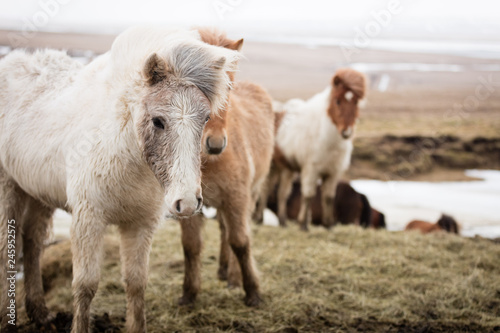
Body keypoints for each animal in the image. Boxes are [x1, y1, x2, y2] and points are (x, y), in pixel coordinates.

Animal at [0, 26, 239, 332]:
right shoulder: (88, 220)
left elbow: (136, 284)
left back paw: (40, 313)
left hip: (38, 193)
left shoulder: (140, 226)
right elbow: (85, 285)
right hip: (9, 188)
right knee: (8, 247)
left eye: (205, 118)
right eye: (158, 121)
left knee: (32, 241)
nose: (186, 202)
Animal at [176, 28, 276, 306]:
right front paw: (189, 294)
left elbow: (240, 242)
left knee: (232, 234)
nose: (216, 144)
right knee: (223, 230)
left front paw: (252, 291)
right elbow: (191, 246)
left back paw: (232, 277)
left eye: (228, 86)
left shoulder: (237, 197)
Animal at [264, 68, 366, 231]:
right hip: (272, 165)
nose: (347, 132)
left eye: (356, 102)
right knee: (263, 189)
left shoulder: (333, 173)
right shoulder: (311, 170)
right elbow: (308, 195)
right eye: (337, 101)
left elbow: (329, 197)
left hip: (285, 169)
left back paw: (282, 221)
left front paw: (329, 225)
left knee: (281, 193)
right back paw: (258, 218)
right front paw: (303, 224)